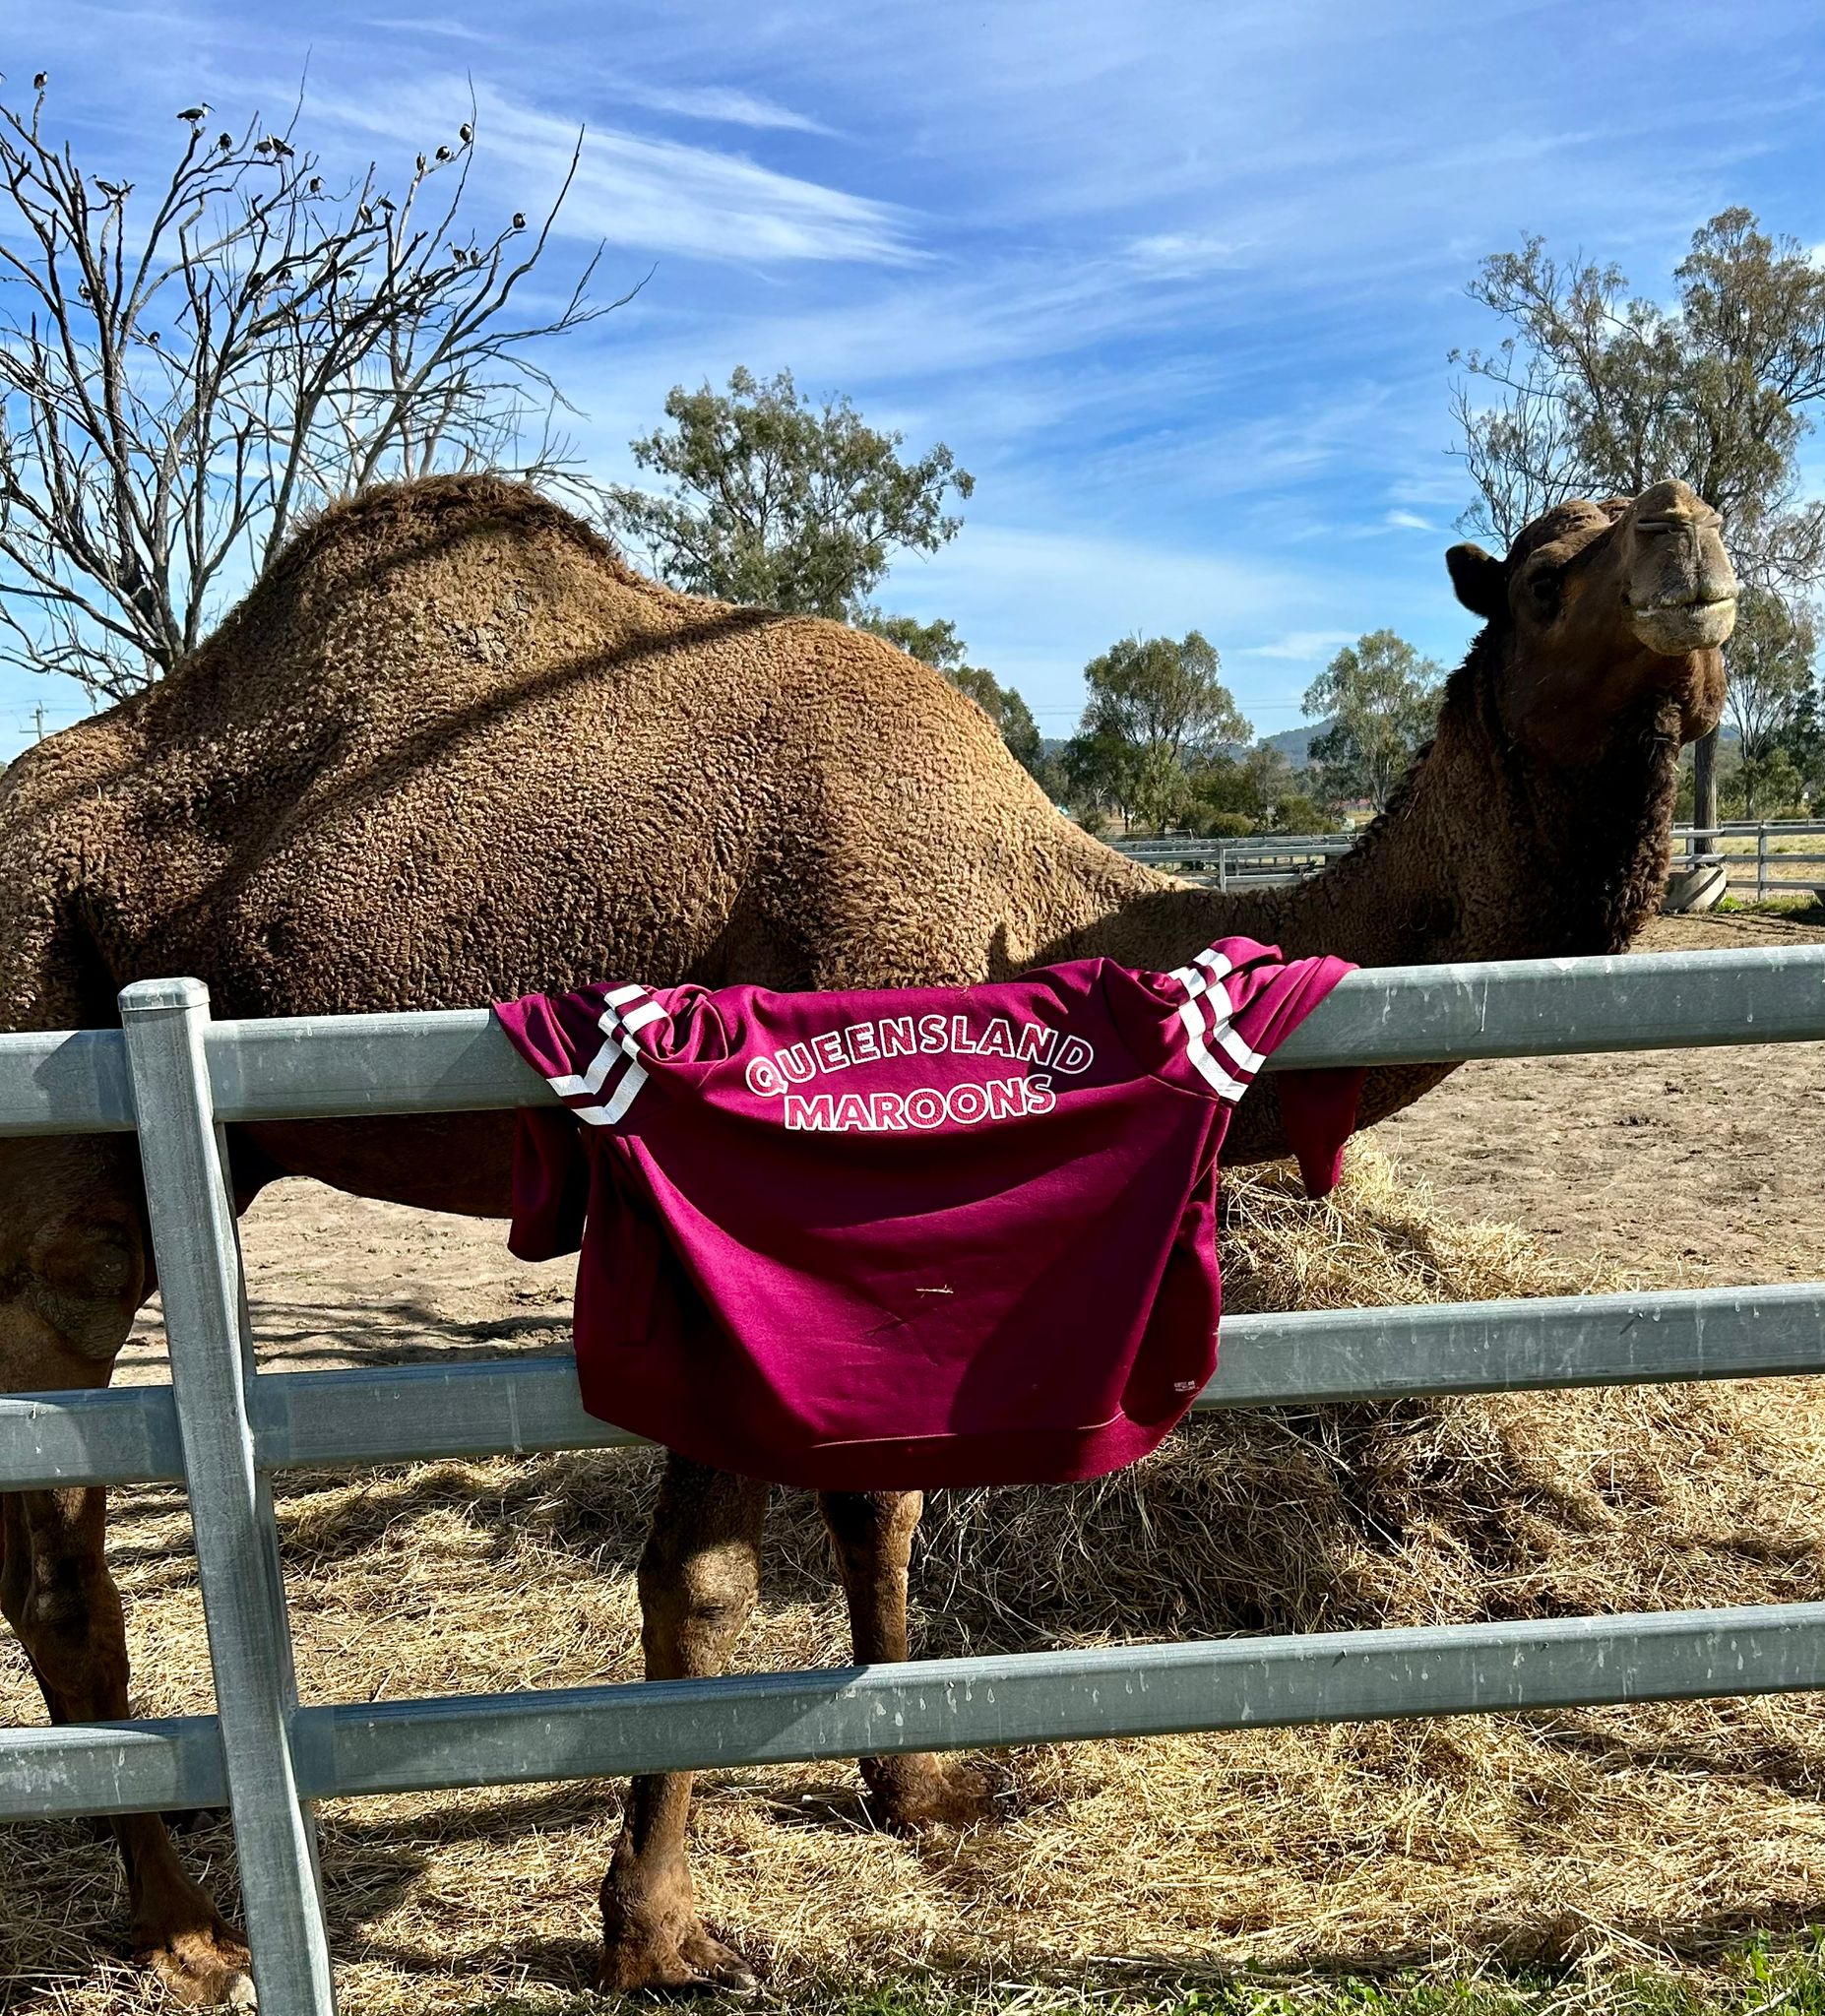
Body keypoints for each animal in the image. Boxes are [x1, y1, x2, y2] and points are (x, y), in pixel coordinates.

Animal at [0, 475, 1733, 2003]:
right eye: (1539, 576)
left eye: (1682, 518)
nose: (1689, 541)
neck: (1038, 914)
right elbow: (705, 1580)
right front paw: (658, 1937)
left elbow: (880, 1497)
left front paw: (922, 1790)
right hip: (47, 1052)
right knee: (60, 1534)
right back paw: (187, 1935)